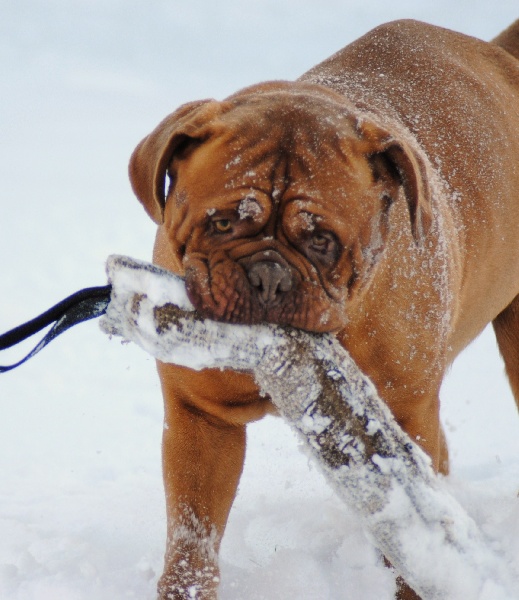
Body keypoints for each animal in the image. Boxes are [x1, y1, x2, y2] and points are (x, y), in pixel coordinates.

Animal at [128, 18, 519, 600]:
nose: (268, 276)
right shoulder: (201, 420)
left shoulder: (405, 420)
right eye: (222, 222)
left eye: (322, 241)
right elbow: (192, 538)